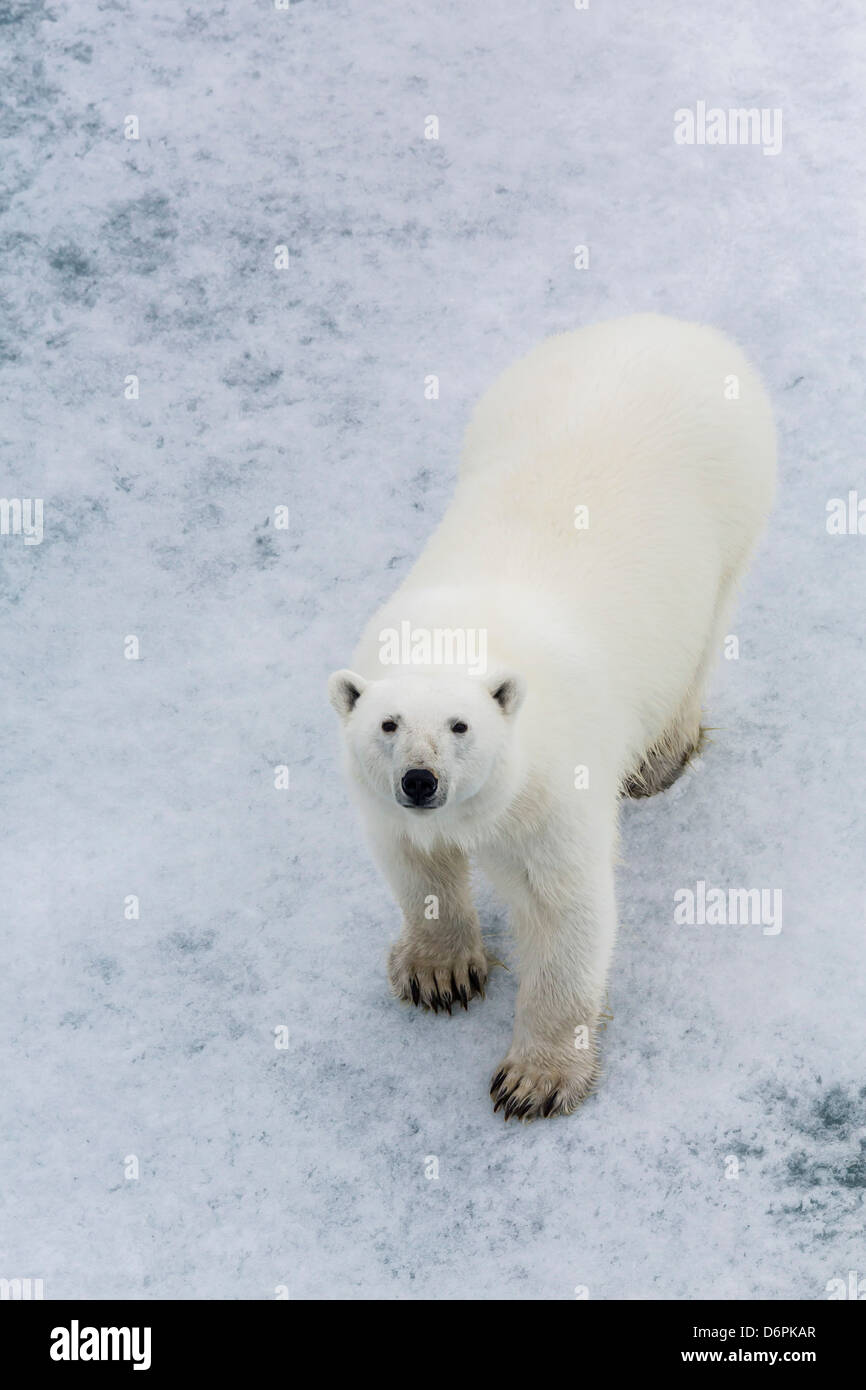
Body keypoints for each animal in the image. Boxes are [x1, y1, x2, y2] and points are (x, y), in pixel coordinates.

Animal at [328, 312, 778, 1117]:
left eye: (461, 726)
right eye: (388, 725)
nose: (421, 782)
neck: (462, 631)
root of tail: (672, 325)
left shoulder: (552, 785)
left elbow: (565, 910)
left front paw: (534, 1079)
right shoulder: (383, 799)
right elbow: (413, 860)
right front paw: (439, 973)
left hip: (734, 500)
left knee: (705, 631)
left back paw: (660, 761)